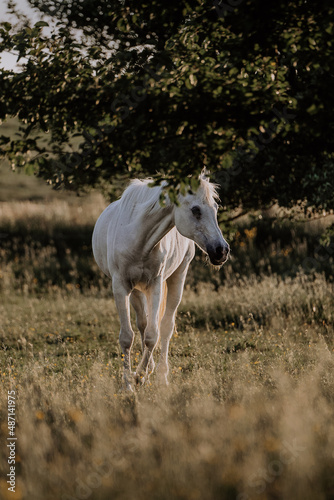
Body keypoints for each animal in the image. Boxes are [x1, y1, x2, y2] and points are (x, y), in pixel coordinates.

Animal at [91, 172, 230, 390]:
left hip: (177, 277)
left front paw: (139, 376)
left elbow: (152, 335)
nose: (222, 251)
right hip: (136, 290)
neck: (139, 237)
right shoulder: (121, 286)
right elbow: (127, 337)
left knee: (165, 327)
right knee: (143, 322)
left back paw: (161, 376)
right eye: (196, 210)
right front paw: (128, 383)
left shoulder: (155, 284)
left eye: (215, 208)